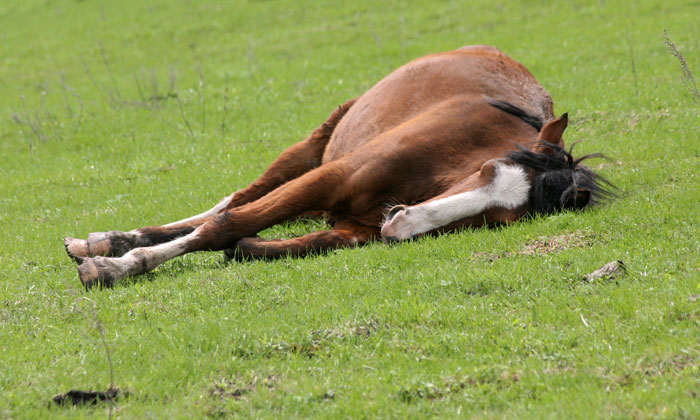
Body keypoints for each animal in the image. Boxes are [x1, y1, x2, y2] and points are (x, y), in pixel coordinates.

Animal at [65, 46, 612, 288]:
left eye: (501, 218)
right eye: (485, 171)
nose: (400, 224)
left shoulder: (350, 228)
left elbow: (266, 241)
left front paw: (247, 249)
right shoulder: (329, 178)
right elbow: (228, 223)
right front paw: (118, 267)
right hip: (310, 148)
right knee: (233, 201)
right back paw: (107, 243)